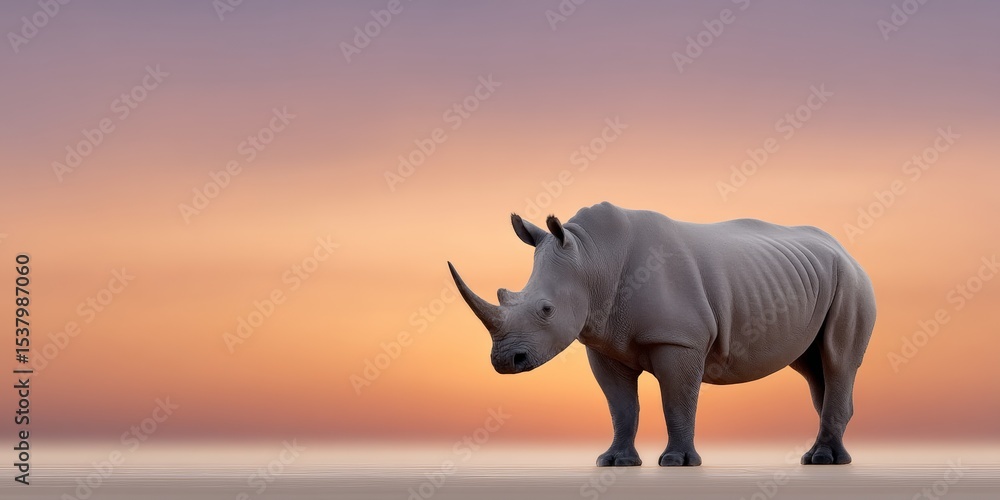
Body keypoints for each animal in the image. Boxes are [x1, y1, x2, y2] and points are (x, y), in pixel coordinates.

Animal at [447, 202, 875, 466]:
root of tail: (845, 250)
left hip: (852, 282)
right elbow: (621, 407)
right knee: (813, 367)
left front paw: (677, 463)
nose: (505, 362)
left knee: (837, 359)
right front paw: (615, 462)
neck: (592, 258)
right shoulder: (602, 342)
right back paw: (823, 455)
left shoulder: (678, 338)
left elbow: (677, 401)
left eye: (546, 310)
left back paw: (823, 460)